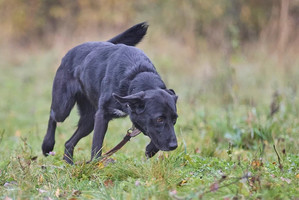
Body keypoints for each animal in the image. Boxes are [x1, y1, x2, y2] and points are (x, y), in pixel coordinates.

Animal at [42, 22, 178, 164]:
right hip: (64, 107)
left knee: (69, 142)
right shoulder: (102, 115)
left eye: (174, 119)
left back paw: (68, 163)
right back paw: (47, 145)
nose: (174, 146)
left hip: (89, 120)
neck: (136, 74)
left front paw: (150, 149)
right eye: (159, 119)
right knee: (53, 115)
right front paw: (96, 163)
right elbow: (97, 144)